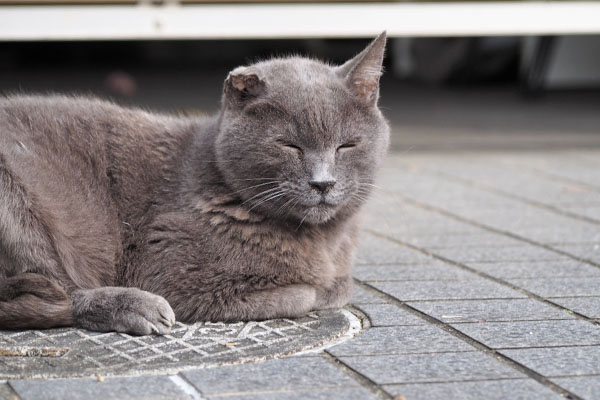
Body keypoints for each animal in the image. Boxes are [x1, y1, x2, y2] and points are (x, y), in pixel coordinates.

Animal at [0, 33, 390, 334]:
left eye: (346, 145)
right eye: (289, 145)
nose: (323, 182)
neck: (323, 241)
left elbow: (340, 285)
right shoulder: (172, 269)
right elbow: (308, 293)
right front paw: (316, 289)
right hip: (16, 202)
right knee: (56, 293)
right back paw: (138, 307)